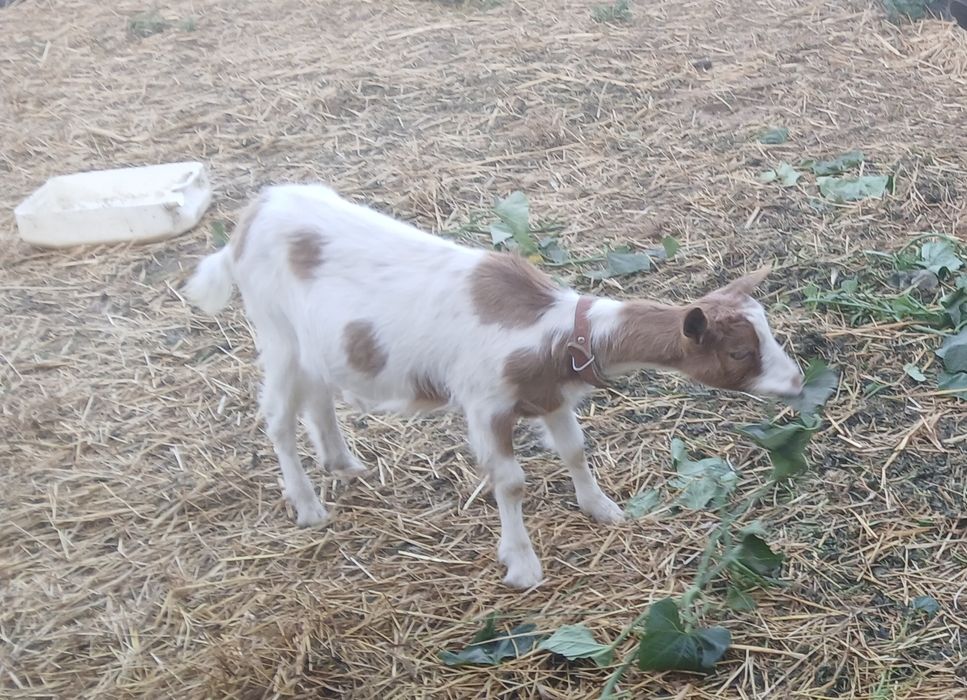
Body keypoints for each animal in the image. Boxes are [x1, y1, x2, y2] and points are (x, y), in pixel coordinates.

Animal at [184, 184, 804, 589]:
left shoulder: (551, 393)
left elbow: (575, 449)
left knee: (318, 396)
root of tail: (250, 216)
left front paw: (602, 508)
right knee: (277, 417)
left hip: (318, 343)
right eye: (740, 352)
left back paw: (343, 463)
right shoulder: (485, 404)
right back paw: (308, 504)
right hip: (276, 331)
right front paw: (522, 565)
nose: (798, 381)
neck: (552, 330)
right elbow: (511, 483)